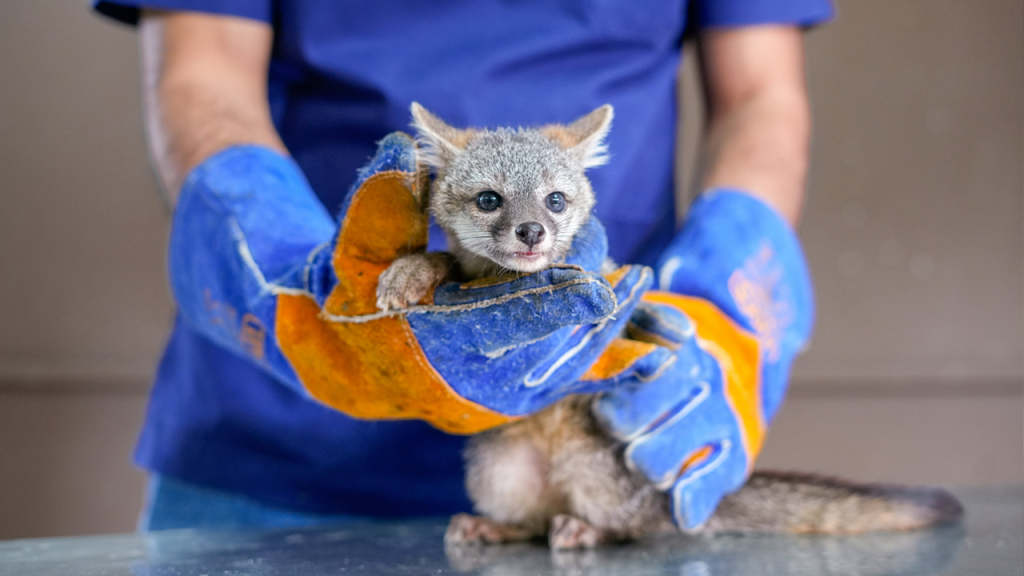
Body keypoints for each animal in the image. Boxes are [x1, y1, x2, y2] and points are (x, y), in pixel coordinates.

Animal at [374, 102, 963, 549]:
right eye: (489, 199)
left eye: (555, 200)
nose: (533, 232)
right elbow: (444, 263)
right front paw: (411, 271)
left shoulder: (610, 289)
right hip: (497, 471)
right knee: (534, 525)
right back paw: (496, 527)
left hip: (596, 475)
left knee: (630, 530)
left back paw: (587, 530)